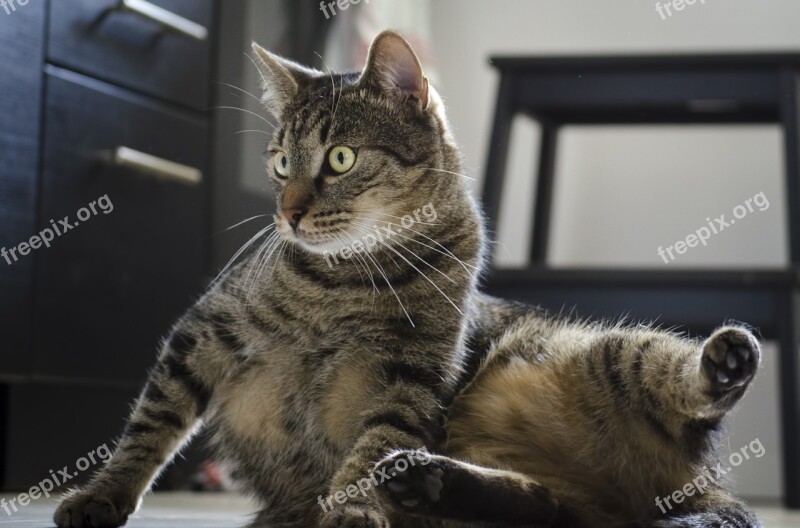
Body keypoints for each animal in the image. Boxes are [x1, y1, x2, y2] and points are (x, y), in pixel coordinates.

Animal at [56, 33, 484, 528]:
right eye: (281, 164)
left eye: (341, 158)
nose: (288, 214)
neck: (345, 279)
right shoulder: (205, 328)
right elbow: (152, 421)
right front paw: (104, 492)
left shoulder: (414, 372)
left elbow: (379, 449)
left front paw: (352, 506)